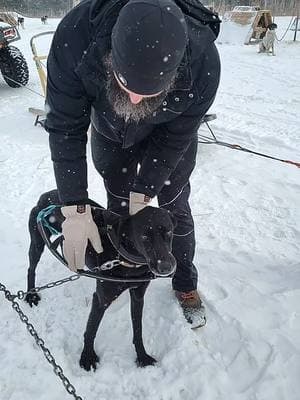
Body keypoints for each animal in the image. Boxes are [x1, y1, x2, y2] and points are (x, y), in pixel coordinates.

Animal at [25, 190, 177, 368]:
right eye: (144, 237)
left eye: (169, 232)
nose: (166, 267)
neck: (125, 259)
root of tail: (47, 194)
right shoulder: (100, 299)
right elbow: (91, 329)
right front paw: (87, 357)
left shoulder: (138, 295)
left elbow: (138, 329)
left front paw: (142, 356)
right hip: (37, 243)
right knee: (31, 269)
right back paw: (31, 295)